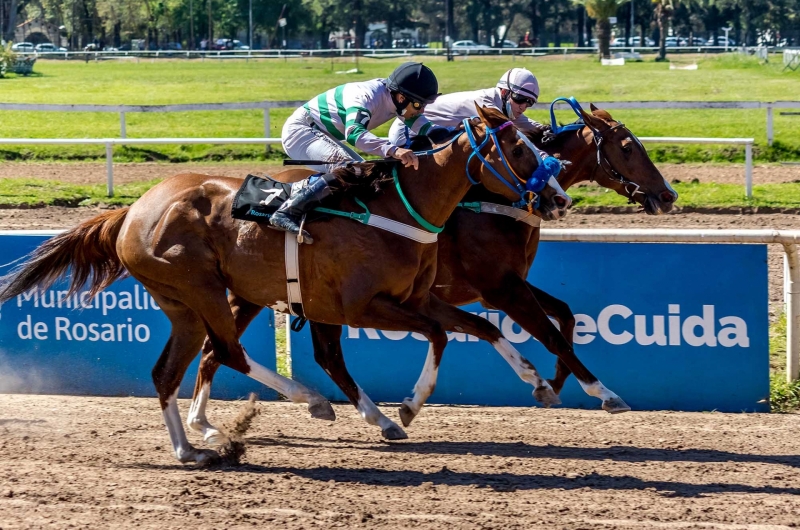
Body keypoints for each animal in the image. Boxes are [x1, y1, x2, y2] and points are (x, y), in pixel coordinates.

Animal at [0, 104, 568, 462]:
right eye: (518, 147)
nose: (557, 197)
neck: (400, 207)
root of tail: (134, 209)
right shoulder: (360, 305)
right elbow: (439, 335)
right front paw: (406, 407)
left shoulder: (408, 298)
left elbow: (470, 328)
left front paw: (537, 383)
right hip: (200, 288)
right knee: (226, 350)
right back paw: (307, 402)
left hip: (188, 304)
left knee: (173, 369)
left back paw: (191, 448)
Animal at [186, 103, 676, 442]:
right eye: (628, 148)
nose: (668, 195)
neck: (487, 201)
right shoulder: (499, 288)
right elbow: (546, 332)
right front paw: (602, 393)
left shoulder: (496, 287)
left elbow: (560, 317)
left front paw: (549, 382)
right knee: (231, 347)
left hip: (265, 292)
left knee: (223, 349)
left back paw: (204, 421)